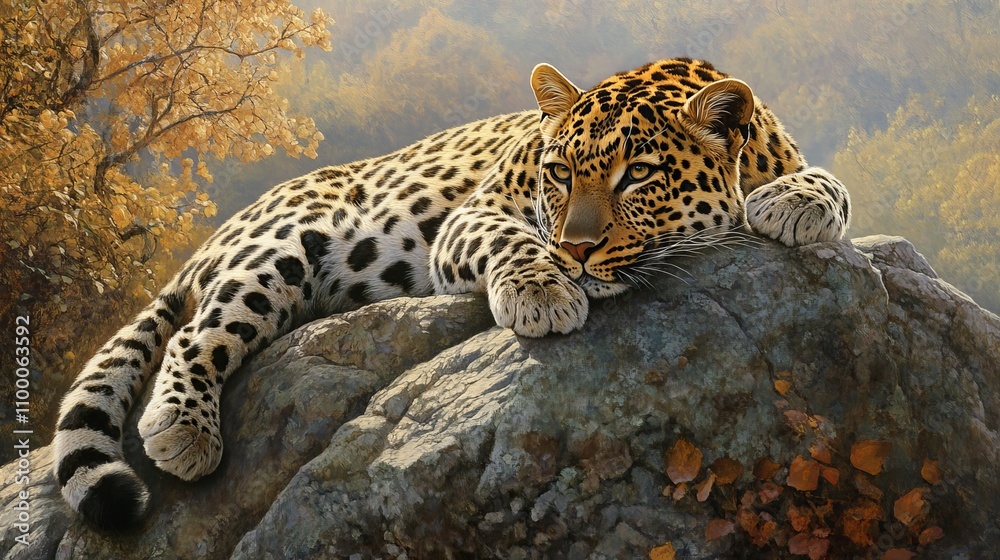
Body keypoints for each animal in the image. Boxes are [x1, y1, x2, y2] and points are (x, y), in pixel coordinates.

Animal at [52, 57, 850, 530]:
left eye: (639, 176)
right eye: (560, 173)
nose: (577, 250)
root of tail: (221, 229)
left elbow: (831, 186)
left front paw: (798, 202)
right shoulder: (475, 214)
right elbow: (514, 241)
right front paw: (542, 292)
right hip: (280, 246)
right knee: (197, 332)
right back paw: (185, 430)